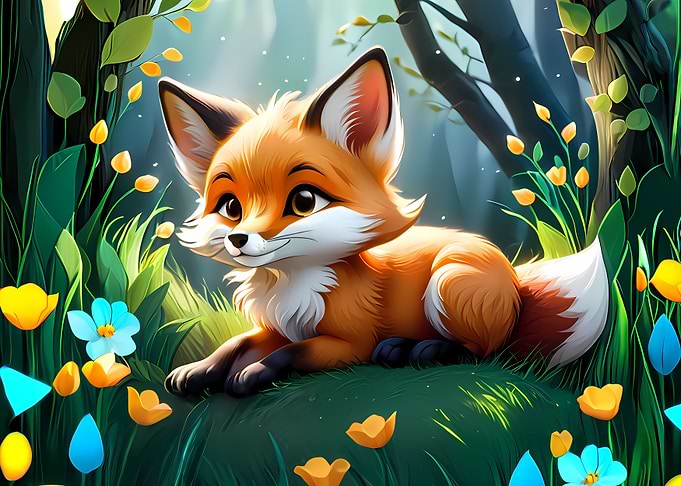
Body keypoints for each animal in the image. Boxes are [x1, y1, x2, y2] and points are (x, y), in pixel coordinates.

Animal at [158, 46, 609, 397]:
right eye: (230, 206)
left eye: (304, 201)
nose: (238, 239)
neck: (294, 283)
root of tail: (516, 282)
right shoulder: (278, 326)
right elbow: (235, 343)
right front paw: (199, 369)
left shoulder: (349, 344)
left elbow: (289, 353)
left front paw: (252, 373)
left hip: (450, 283)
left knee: (483, 351)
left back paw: (417, 349)